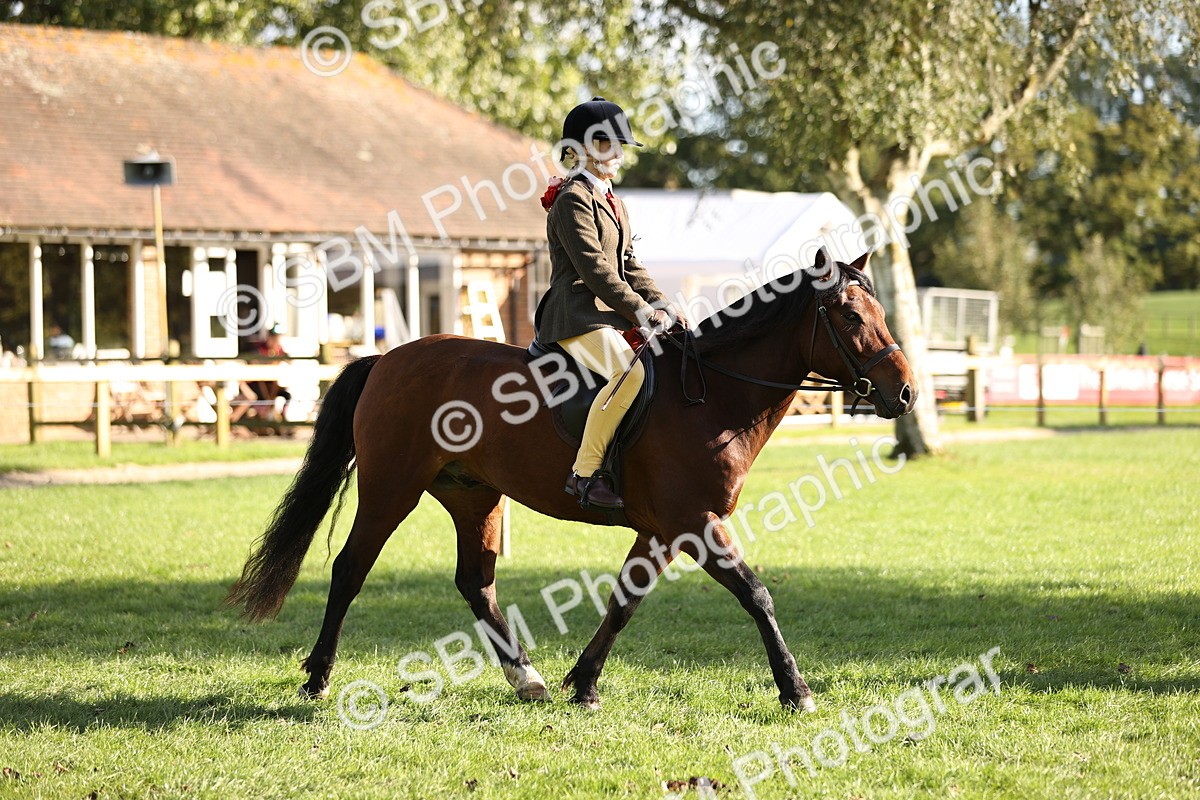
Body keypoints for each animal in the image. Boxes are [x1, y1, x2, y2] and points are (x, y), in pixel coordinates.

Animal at [226, 249, 916, 712]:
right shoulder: (694, 524)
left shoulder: (662, 531)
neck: (712, 395)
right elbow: (756, 594)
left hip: (474, 496)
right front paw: (795, 689)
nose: (905, 393)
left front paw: (582, 683)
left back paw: (526, 678)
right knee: (350, 569)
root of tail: (387, 359)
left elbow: (624, 601)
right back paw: (317, 677)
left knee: (476, 584)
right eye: (849, 315)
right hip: (391, 488)